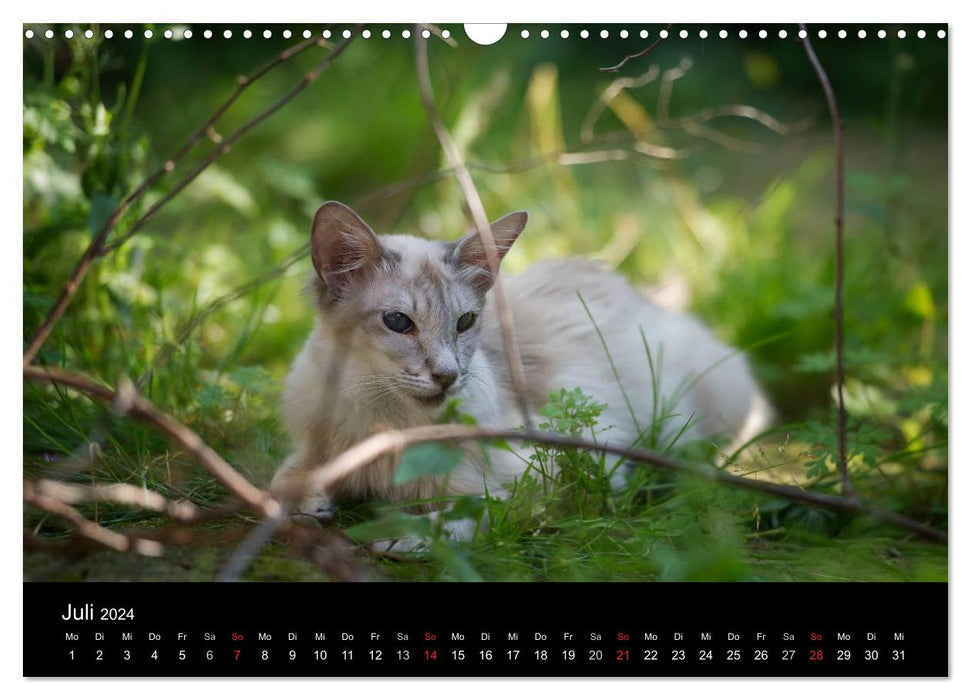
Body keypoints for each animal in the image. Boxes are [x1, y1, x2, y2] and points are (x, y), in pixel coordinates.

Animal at [272, 200, 776, 540]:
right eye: (398, 322)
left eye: (465, 322)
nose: (447, 376)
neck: (383, 421)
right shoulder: (317, 444)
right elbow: (284, 481)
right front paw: (309, 505)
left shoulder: (562, 473)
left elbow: (466, 515)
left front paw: (394, 536)